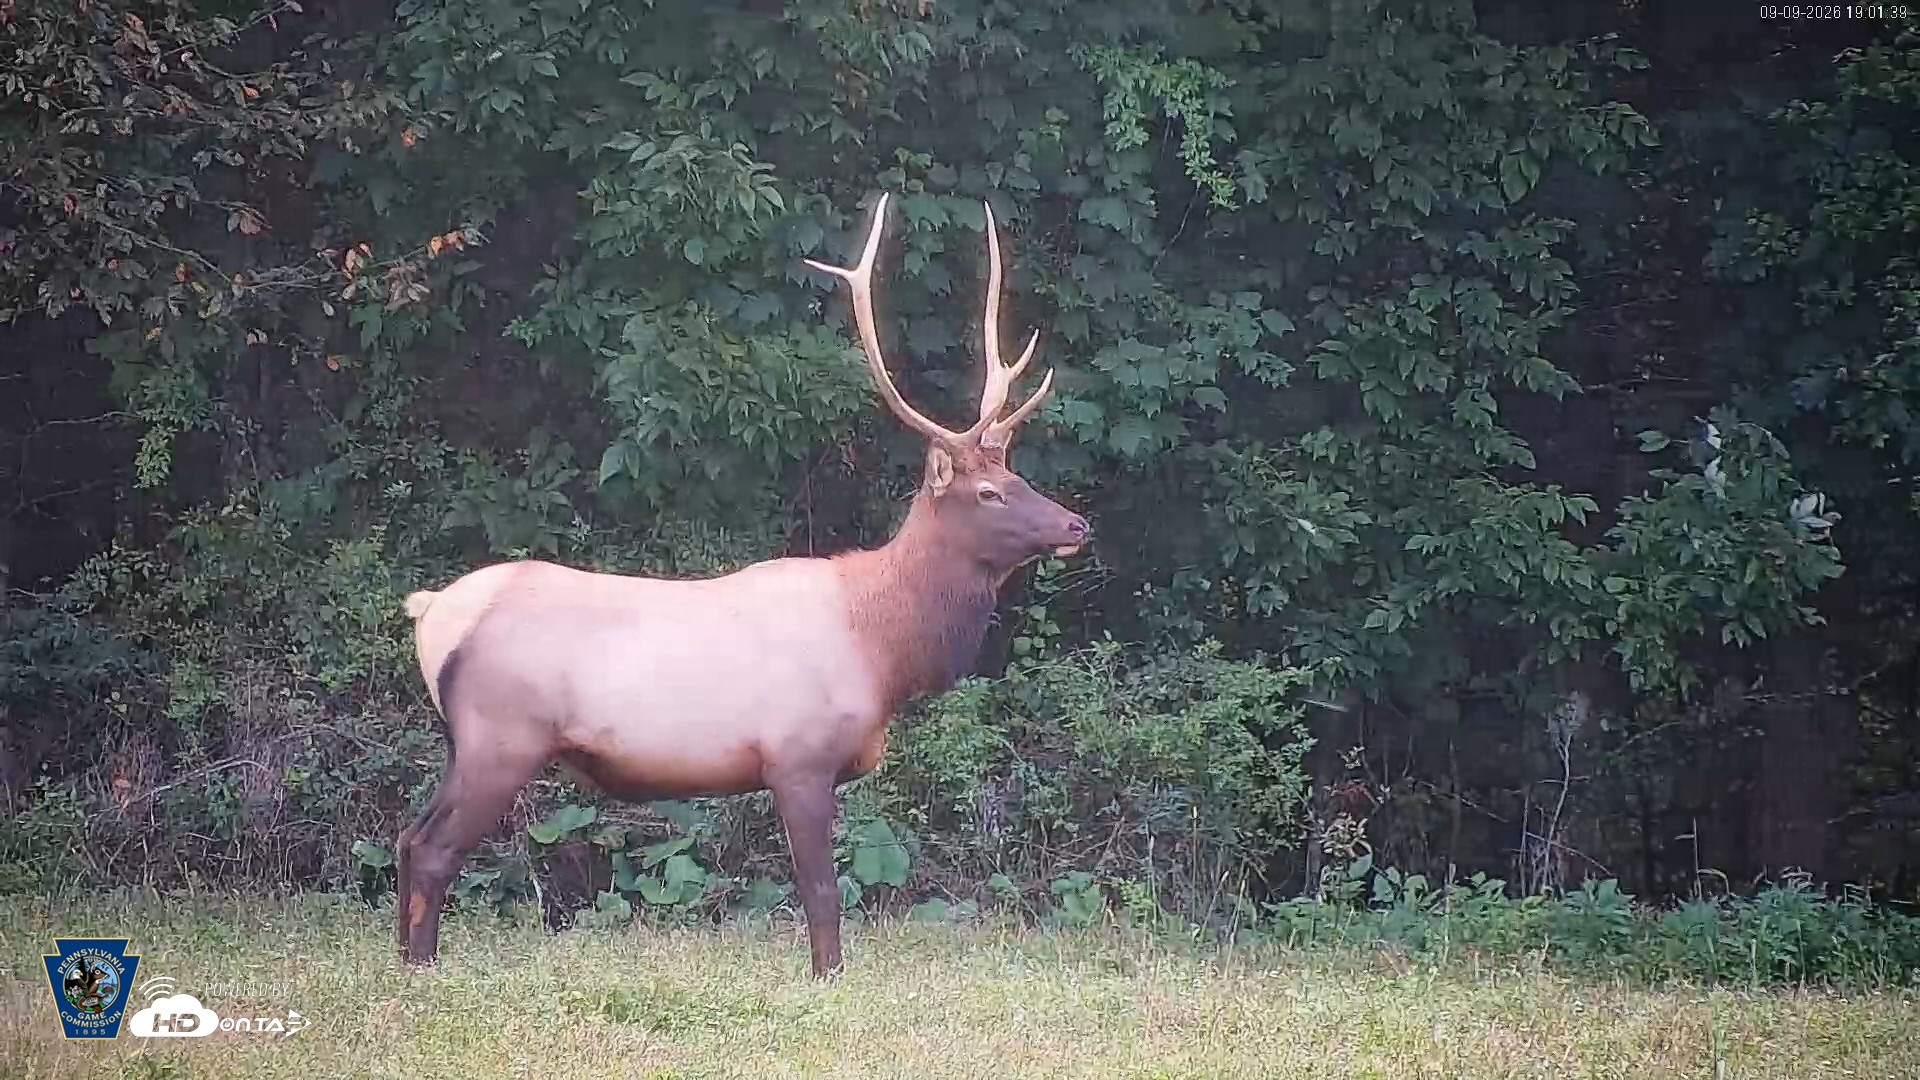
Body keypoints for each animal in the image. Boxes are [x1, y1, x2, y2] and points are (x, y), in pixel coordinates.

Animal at [395, 192, 1089, 978]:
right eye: (989, 492)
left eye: (1018, 476)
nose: (1075, 524)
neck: (882, 650)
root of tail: (432, 612)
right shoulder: (797, 756)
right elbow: (821, 894)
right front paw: (827, 979)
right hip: (500, 735)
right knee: (433, 847)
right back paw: (421, 969)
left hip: (465, 742)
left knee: (407, 837)